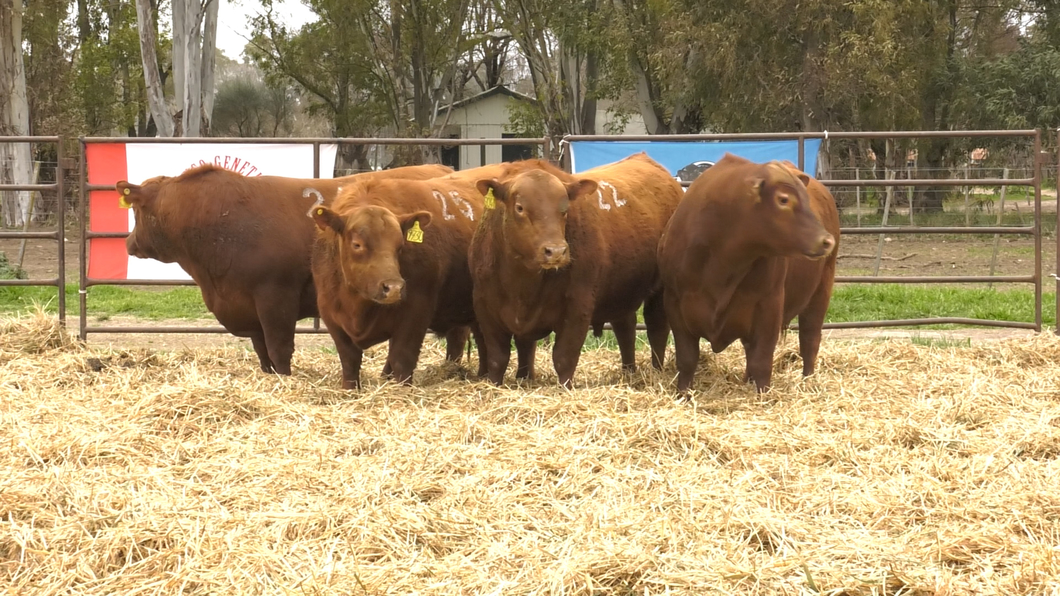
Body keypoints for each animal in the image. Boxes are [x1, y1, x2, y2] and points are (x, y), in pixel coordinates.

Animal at [113, 161, 453, 375]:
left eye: (137, 210)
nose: (129, 242)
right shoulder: (248, 307)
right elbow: (262, 351)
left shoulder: (275, 297)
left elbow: (279, 349)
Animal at [309, 173, 485, 388]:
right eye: (357, 244)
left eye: (400, 245)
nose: (393, 287)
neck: (357, 305)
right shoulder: (332, 317)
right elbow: (350, 362)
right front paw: (349, 390)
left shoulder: (415, 314)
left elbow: (402, 359)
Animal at [468, 150, 682, 388]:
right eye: (520, 207)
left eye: (564, 209)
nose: (556, 251)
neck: (523, 286)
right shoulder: (485, 308)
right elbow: (499, 358)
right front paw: (500, 384)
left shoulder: (578, 307)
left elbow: (564, 357)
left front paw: (565, 389)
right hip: (621, 294)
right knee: (625, 327)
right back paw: (629, 372)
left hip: (659, 290)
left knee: (657, 328)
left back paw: (656, 371)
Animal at [652, 155, 835, 392]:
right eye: (784, 200)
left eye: (805, 197)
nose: (827, 240)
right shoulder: (675, 305)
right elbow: (687, 359)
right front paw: (683, 393)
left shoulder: (769, 306)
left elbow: (761, 361)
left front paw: (763, 394)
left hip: (821, 291)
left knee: (809, 338)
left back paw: (807, 380)